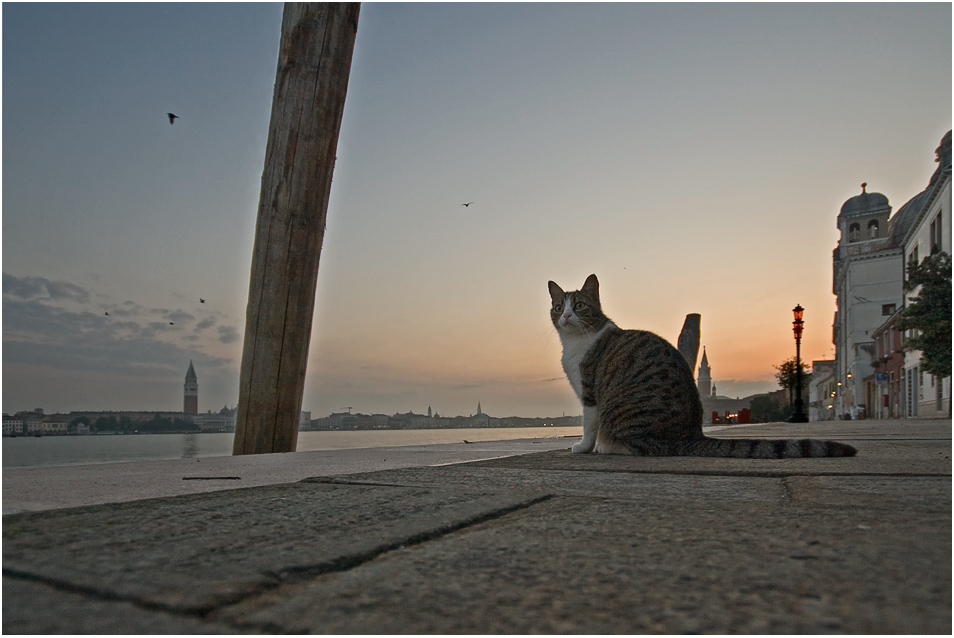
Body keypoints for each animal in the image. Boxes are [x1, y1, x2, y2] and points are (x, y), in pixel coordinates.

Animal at [548, 276, 860, 460]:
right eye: (558, 307)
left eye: (579, 305)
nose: (566, 316)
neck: (576, 340)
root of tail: (692, 435)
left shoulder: (589, 391)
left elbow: (589, 424)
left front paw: (583, 447)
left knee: (649, 446)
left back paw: (608, 445)